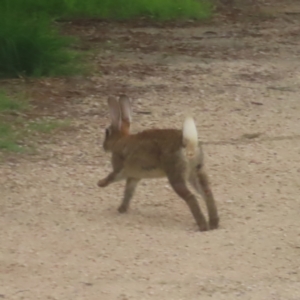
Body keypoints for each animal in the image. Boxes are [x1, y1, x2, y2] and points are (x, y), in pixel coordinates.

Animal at [98, 95, 218, 231]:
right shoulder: (134, 177)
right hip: (196, 170)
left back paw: (203, 226)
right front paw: (121, 209)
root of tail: (188, 144)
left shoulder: (120, 168)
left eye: (107, 132)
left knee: (191, 197)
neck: (120, 140)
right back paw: (214, 224)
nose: (104, 147)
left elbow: (112, 177)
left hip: (175, 174)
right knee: (207, 192)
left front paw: (100, 183)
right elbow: (128, 192)